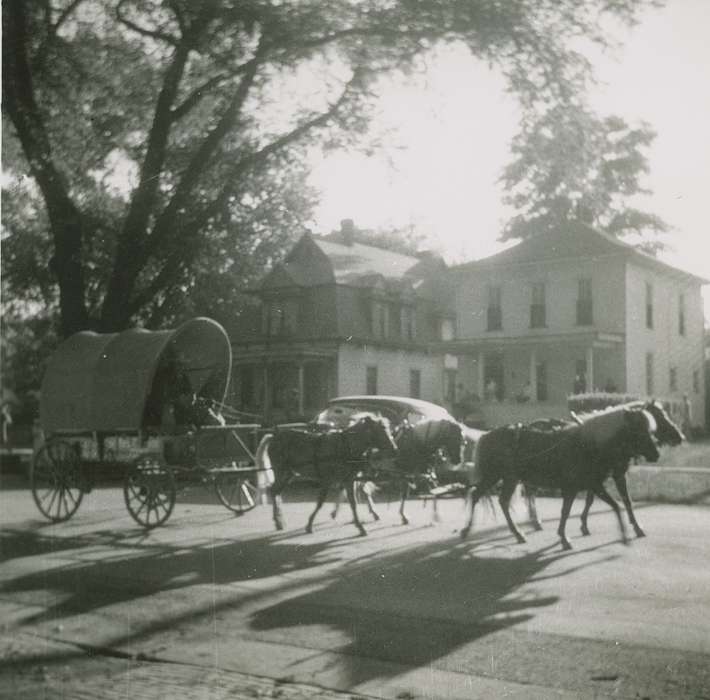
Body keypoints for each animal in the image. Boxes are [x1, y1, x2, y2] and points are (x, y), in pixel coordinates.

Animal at [258, 416, 398, 536]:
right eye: (380, 430)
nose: (395, 449)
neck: (345, 446)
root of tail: (274, 436)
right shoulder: (327, 480)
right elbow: (320, 502)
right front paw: (309, 525)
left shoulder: (349, 480)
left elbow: (353, 503)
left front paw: (360, 527)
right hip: (280, 471)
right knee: (274, 491)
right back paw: (278, 521)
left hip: (288, 474)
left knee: (276, 491)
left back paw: (279, 521)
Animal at [462, 408, 660, 548]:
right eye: (638, 431)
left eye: (649, 430)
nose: (656, 454)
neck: (589, 444)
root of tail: (486, 435)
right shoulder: (585, 486)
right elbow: (610, 506)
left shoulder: (592, 484)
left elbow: (614, 503)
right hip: (497, 476)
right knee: (483, 496)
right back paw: (473, 530)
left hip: (506, 478)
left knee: (492, 498)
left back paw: (512, 532)